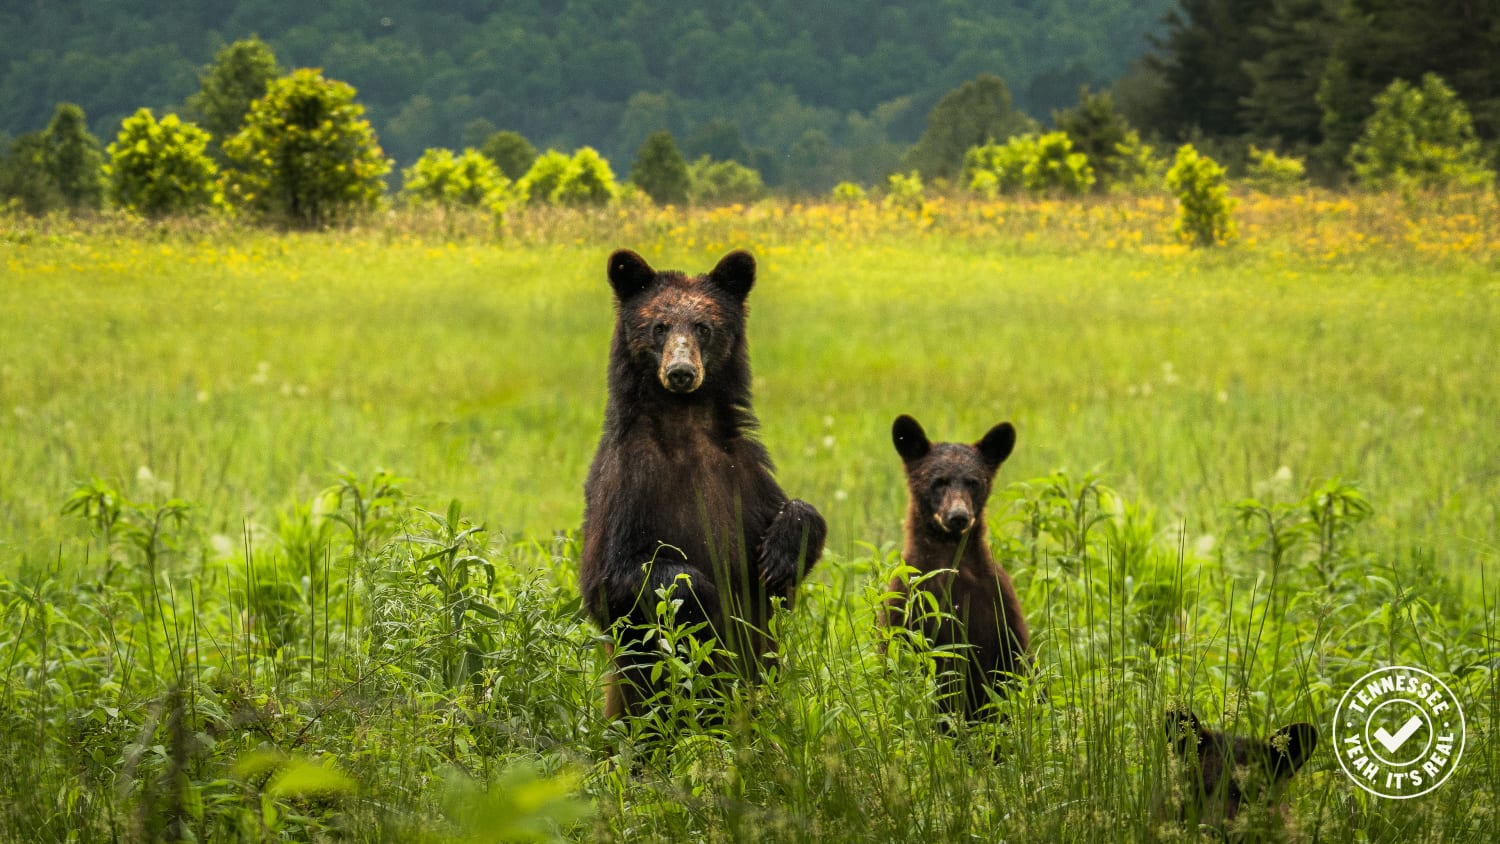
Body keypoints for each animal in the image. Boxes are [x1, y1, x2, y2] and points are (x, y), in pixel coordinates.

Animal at [580, 248, 827, 720]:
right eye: (659, 325)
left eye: (703, 326)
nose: (680, 371)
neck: (685, 424)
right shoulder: (627, 485)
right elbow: (612, 580)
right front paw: (699, 598)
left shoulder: (741, 474)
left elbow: (793, 530)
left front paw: (781, 551)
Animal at [880, 413, 1031, 721]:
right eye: (938, 481)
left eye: (973, 482)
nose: (958, 516)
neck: (950, 561)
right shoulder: (904, 607)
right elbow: (893, 660)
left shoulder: (998, 604)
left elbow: (1017, 664)